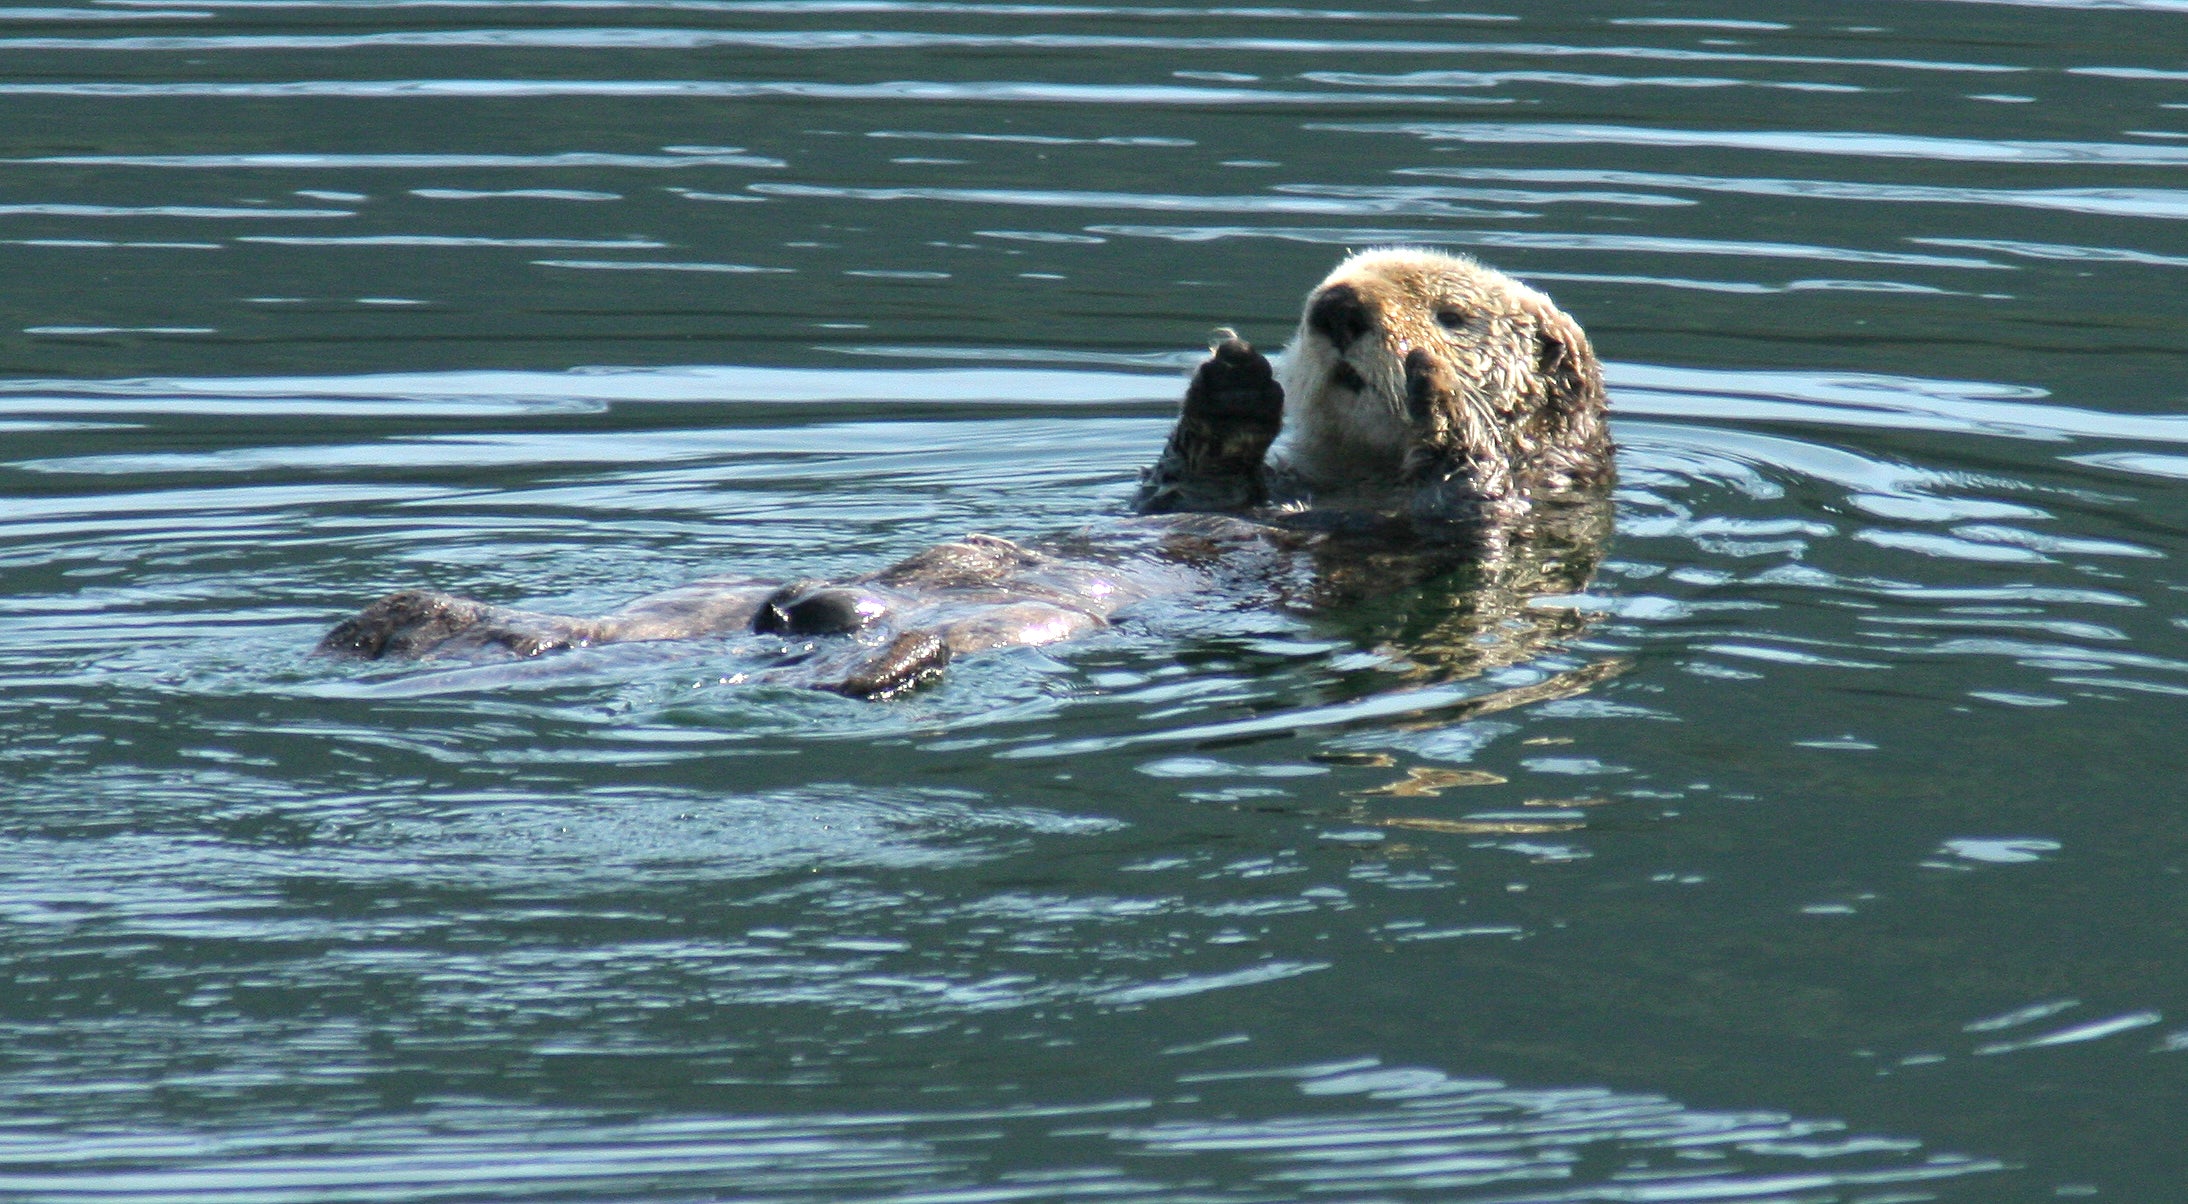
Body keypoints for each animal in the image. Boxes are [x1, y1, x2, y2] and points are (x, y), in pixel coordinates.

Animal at [319, 247, 1610, 700]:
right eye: (1318, 293)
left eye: (1452, 309)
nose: (1344, 309)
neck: (1343, 484)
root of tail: (787, 620)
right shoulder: (1235, 492)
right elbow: (1185, 491)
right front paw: (1233, 382)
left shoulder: (1510, 514)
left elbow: (1475, 489)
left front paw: (1434, 389)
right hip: (694, 600)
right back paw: (396, 621)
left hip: (1015, 621)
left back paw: (873, 667)